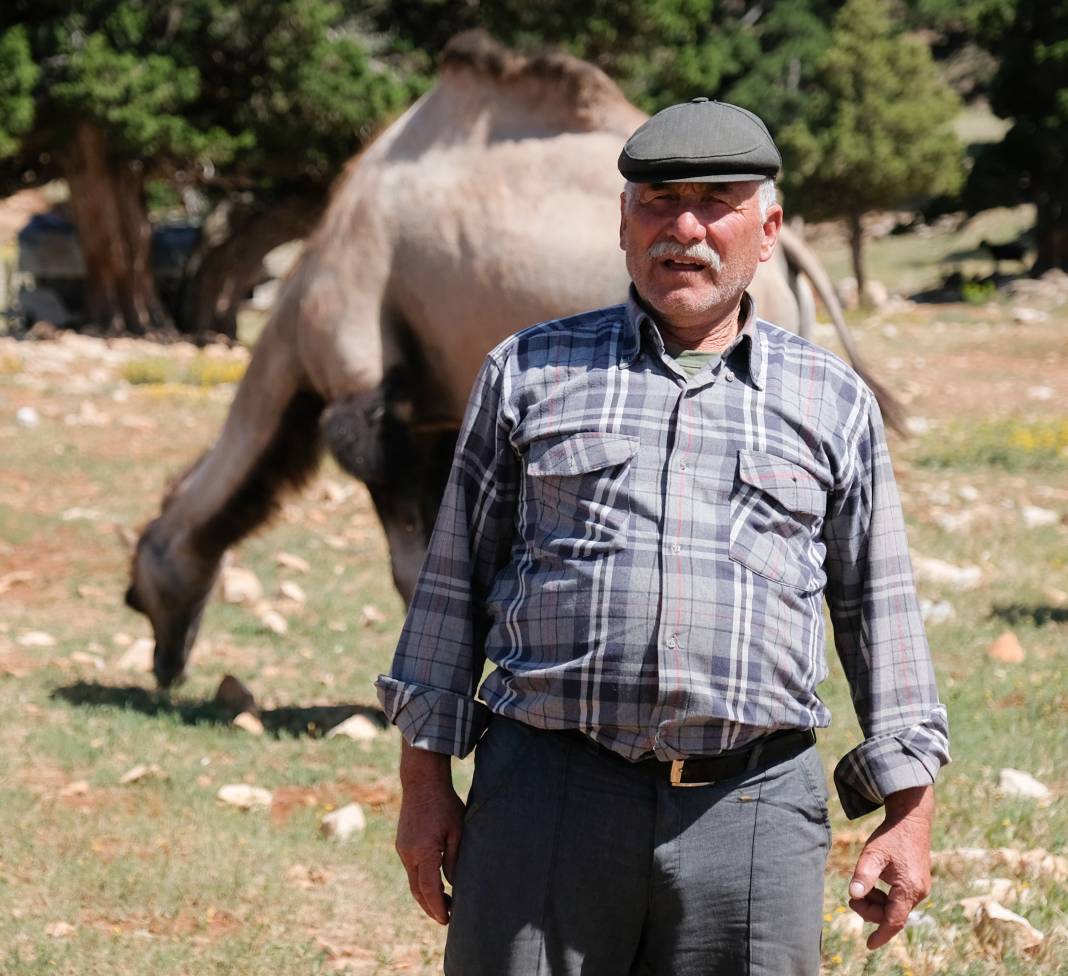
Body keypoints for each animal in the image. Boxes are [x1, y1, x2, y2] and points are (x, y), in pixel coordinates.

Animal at [124, 30, 901, 683]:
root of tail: (789, 241)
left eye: (139, 588)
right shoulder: (440, 414)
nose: (164, 669)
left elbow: (410, 563)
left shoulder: (365, 395)